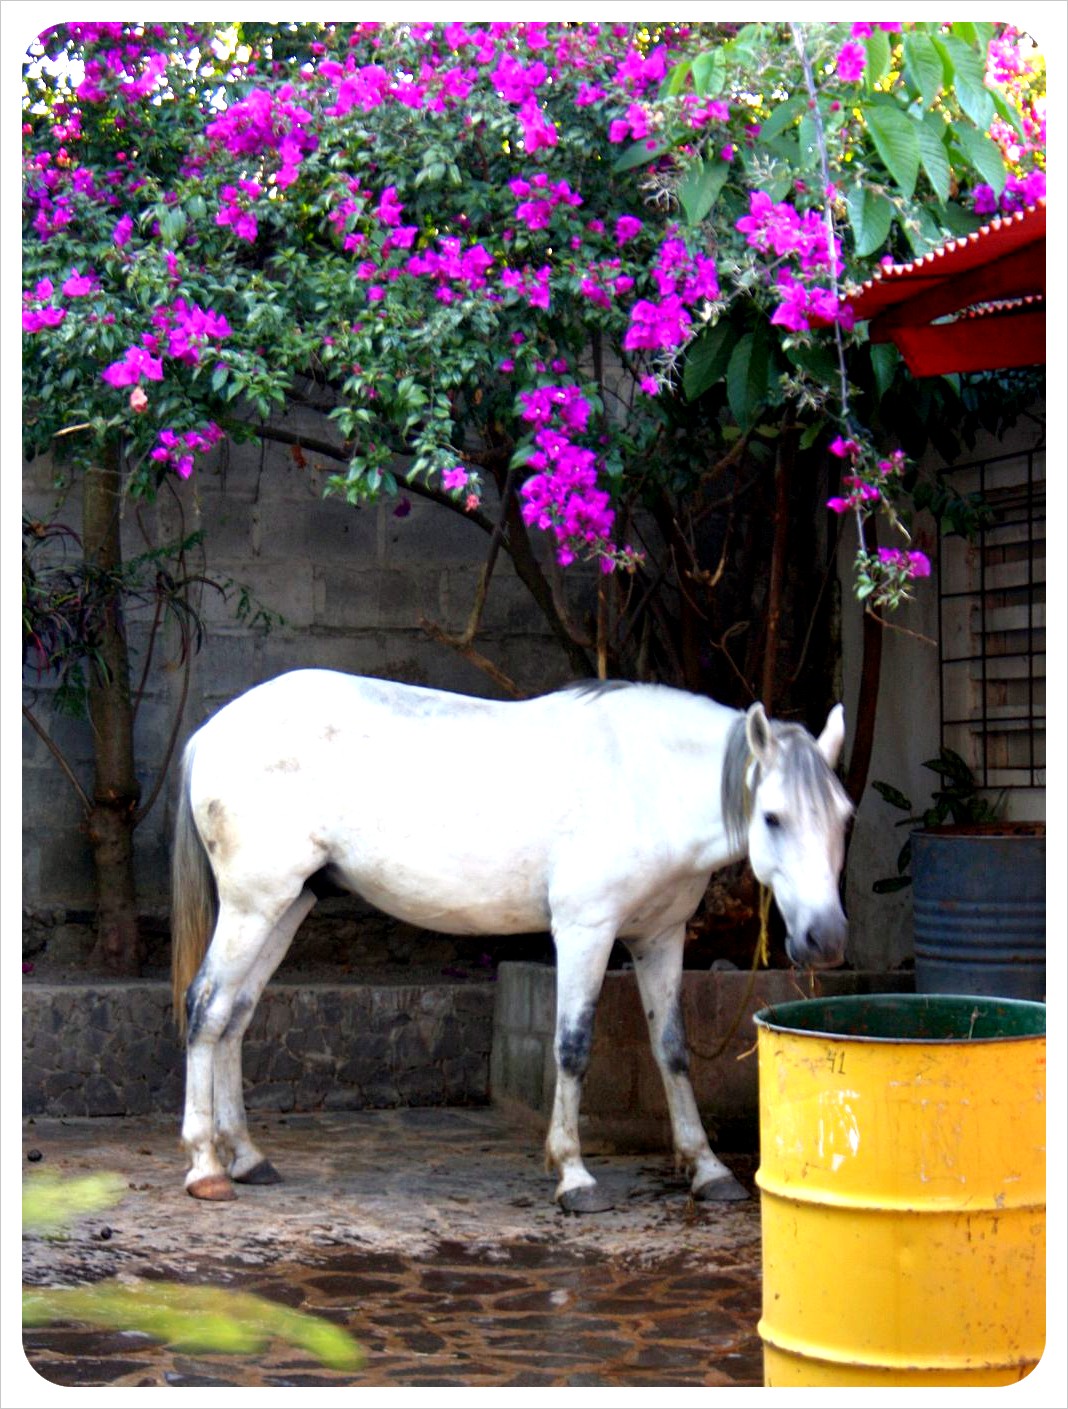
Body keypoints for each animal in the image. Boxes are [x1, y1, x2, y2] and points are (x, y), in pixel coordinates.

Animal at [171, 670, 852, 1211]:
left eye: (844, 817)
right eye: (773, 817)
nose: (825, 938)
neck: (643, 782)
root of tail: (211, 731)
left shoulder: (660, 937)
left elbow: (673, 1050)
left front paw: (706, 1169)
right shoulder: (585, 931)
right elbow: (572, 1047)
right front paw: (574, 1176)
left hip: (285, 906)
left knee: (235, 1016)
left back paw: (247, 1157)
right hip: (252, 907)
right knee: (205, 1008)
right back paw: (206, 1167)